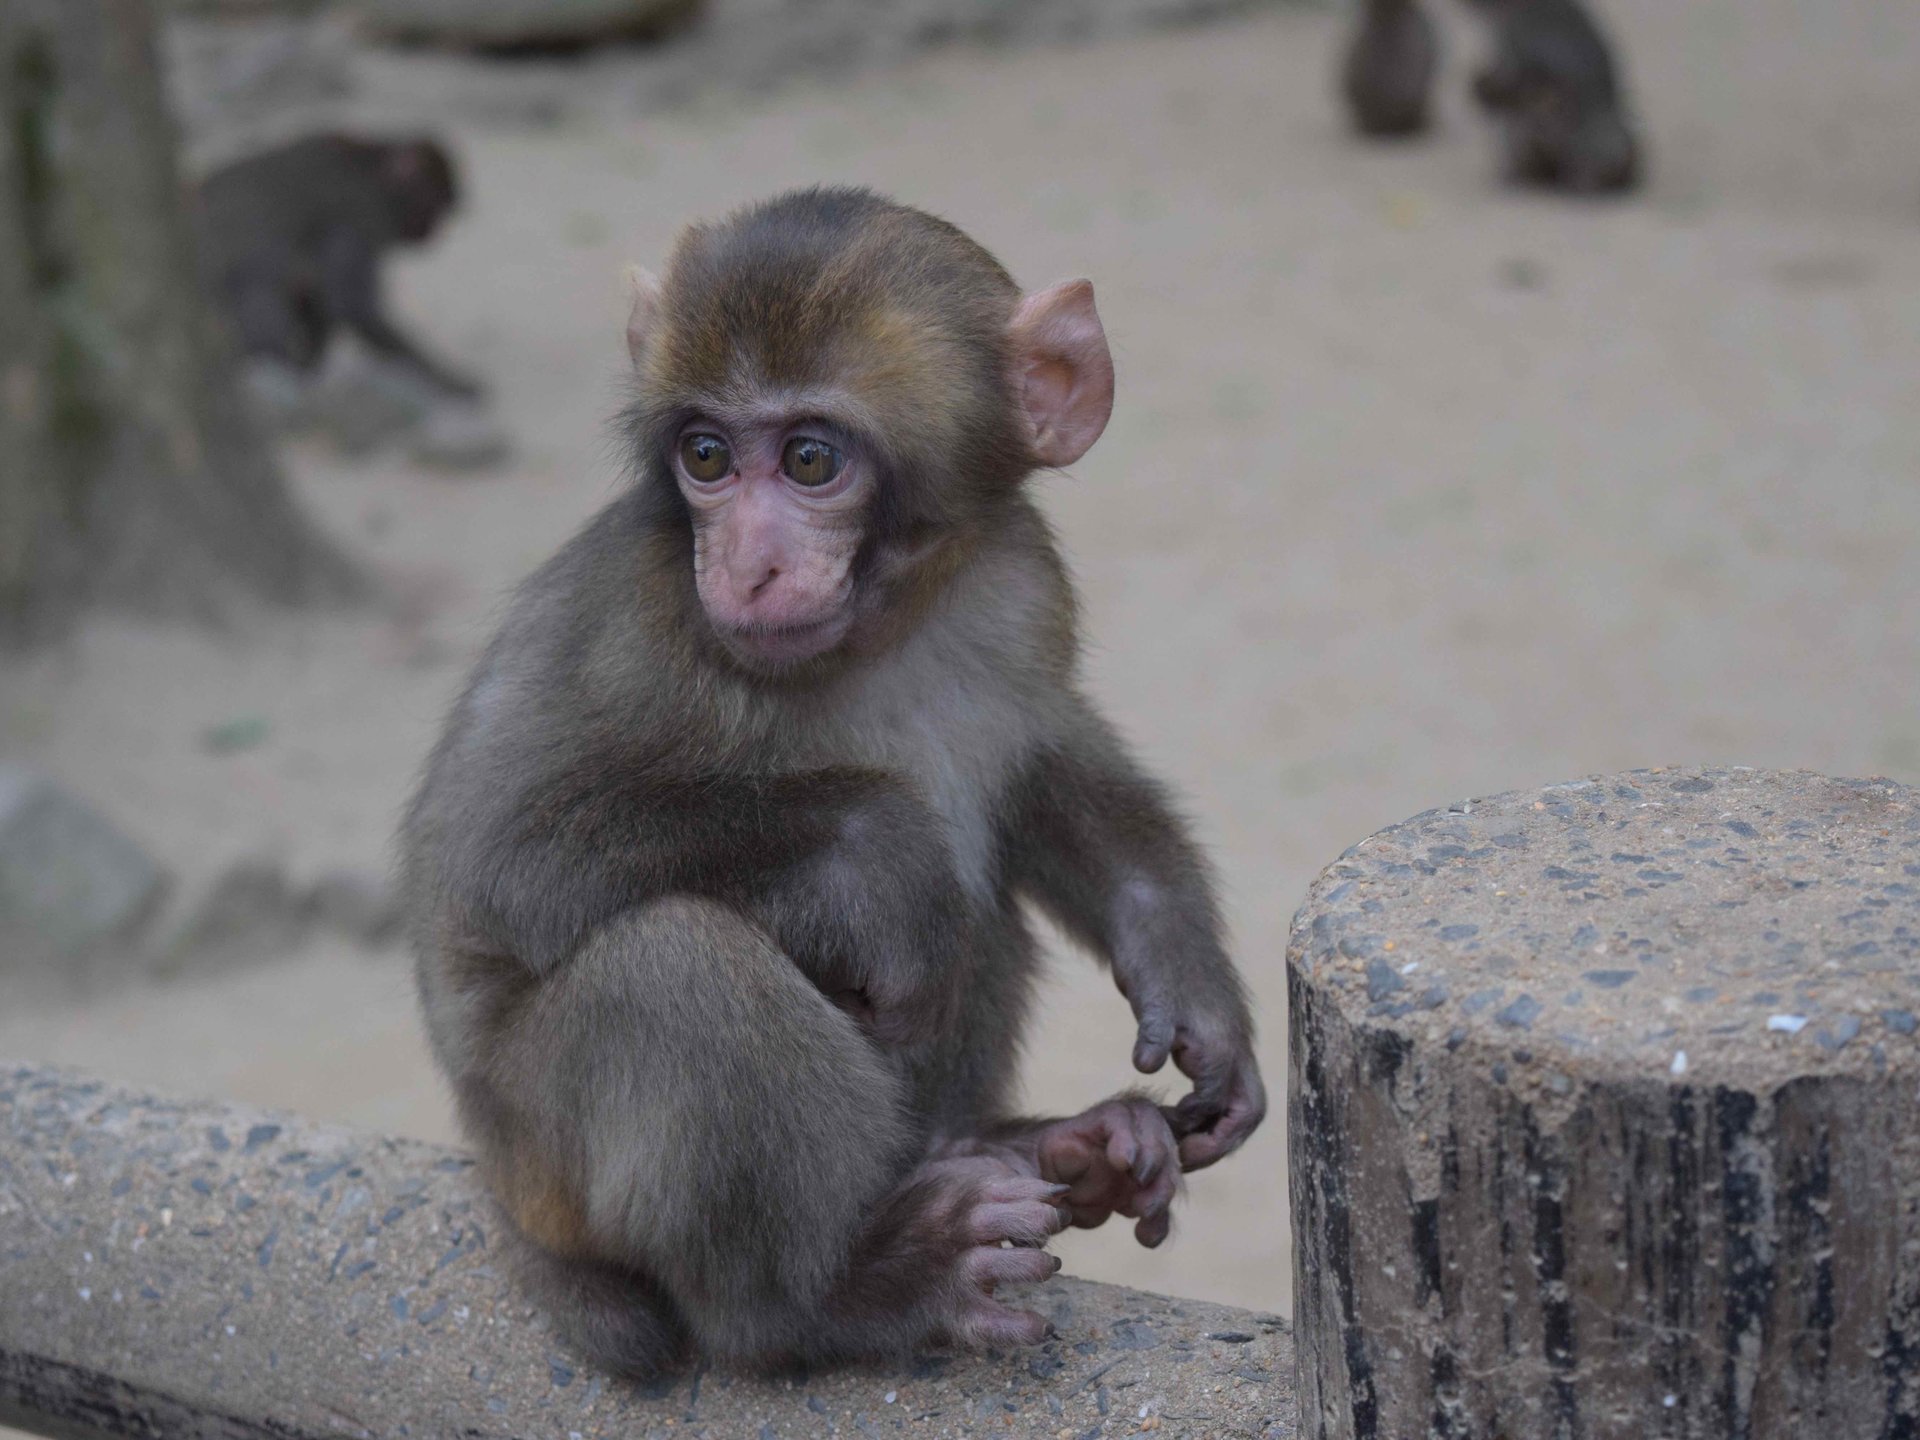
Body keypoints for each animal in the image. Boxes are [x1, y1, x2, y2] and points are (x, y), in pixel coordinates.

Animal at [403, 189, 1267, 1374]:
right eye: (707, 456)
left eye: (811, 460)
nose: (745, 566)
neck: (882, 621)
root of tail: (504, 1192)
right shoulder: (636, 618)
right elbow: (492, 851)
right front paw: (878, 853)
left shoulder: (1021, 580)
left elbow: (1042, 760)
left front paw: (1184, 971)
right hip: (546, 1153)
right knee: (678, 965)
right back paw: (835, 1297)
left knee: (976, 902)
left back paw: (1036, 1146)